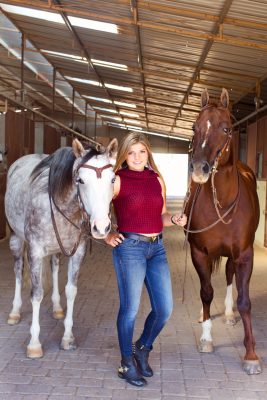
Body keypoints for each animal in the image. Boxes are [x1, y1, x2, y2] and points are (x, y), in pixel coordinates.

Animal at [186, 87, 262, 376]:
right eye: (194, 127)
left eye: (227, 129)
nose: (199, 169)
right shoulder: (199, 252)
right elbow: (206, 292)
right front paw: (207, 338)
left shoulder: (244, 255)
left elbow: (245, 301)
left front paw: (251, 355)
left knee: (229, 278)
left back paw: (229, 315)